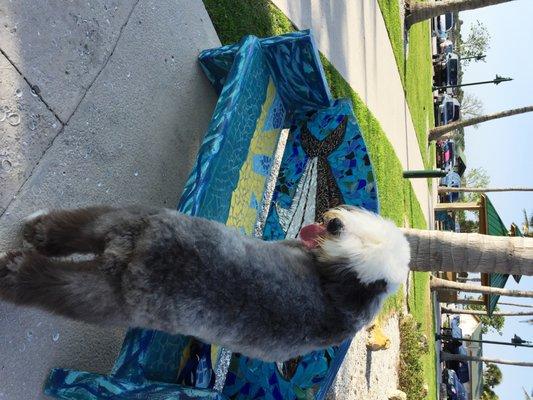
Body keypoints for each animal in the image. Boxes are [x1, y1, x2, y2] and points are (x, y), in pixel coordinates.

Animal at [0, 206, 410, 362]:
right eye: (359, 237)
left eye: (358, 257)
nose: (335, 223)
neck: (337, 296)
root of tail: (149, 253)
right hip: (128, 223)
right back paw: (33, 236)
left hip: (106, 289)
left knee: (58, 270)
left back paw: (18, 264)